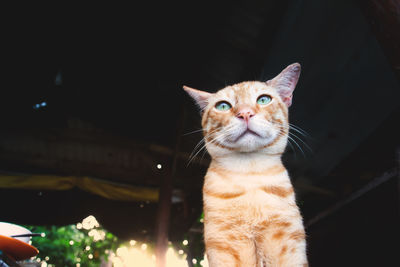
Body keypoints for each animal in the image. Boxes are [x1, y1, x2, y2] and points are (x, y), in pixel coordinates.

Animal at [183, 63, 308, 266]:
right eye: (223, 105)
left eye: (264, 99)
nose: (245, 113)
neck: (250, 174)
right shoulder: (223, 245)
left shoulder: (289, 242)